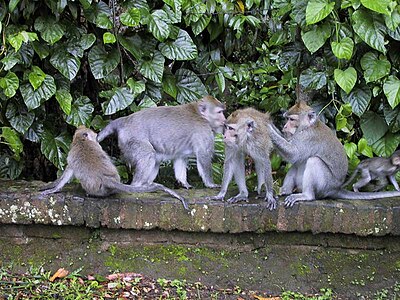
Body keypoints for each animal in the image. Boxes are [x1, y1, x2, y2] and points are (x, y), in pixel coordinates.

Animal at [96, 96, 225, 190]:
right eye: (219, 112)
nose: (224, 120)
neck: (201, 115)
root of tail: (124, 120)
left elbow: (180, 158)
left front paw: (184, 183)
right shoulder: (203, 131)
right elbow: (204, 155)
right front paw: (211, 184)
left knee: (155, 160)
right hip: (132, 140)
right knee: (147, 155)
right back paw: (138, 186)